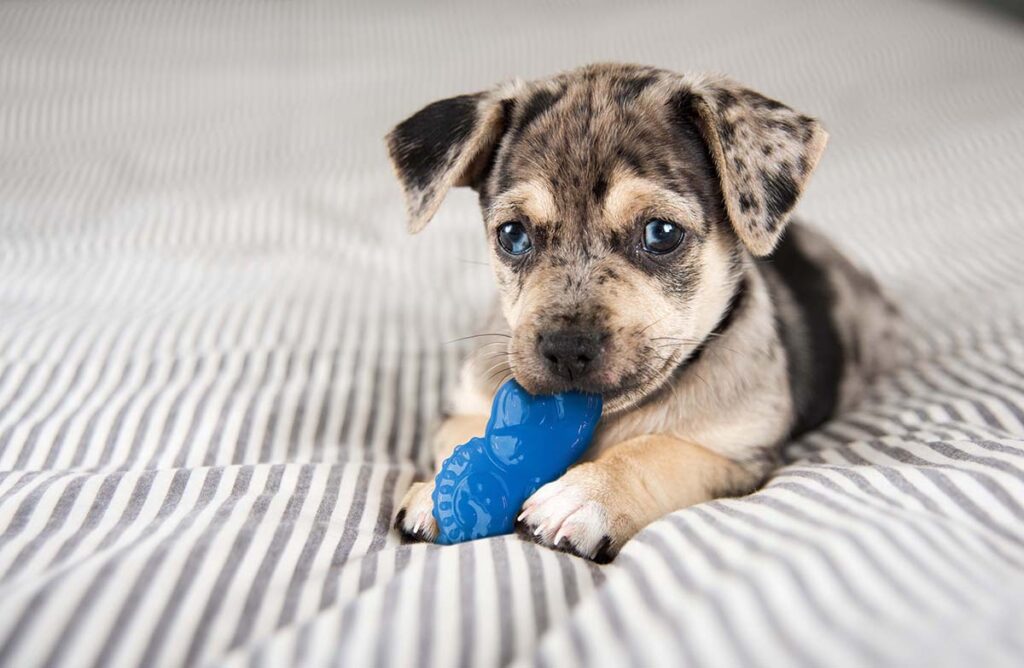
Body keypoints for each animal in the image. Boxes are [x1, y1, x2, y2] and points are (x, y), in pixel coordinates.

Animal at [387, 64, 892, 565]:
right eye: (512, 235)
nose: (566, 350)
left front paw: (589, 494)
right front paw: (450, 484)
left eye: (661, 233)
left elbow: (659, 451)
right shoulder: (462, 408)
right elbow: (470, 434)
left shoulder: (738, 451)